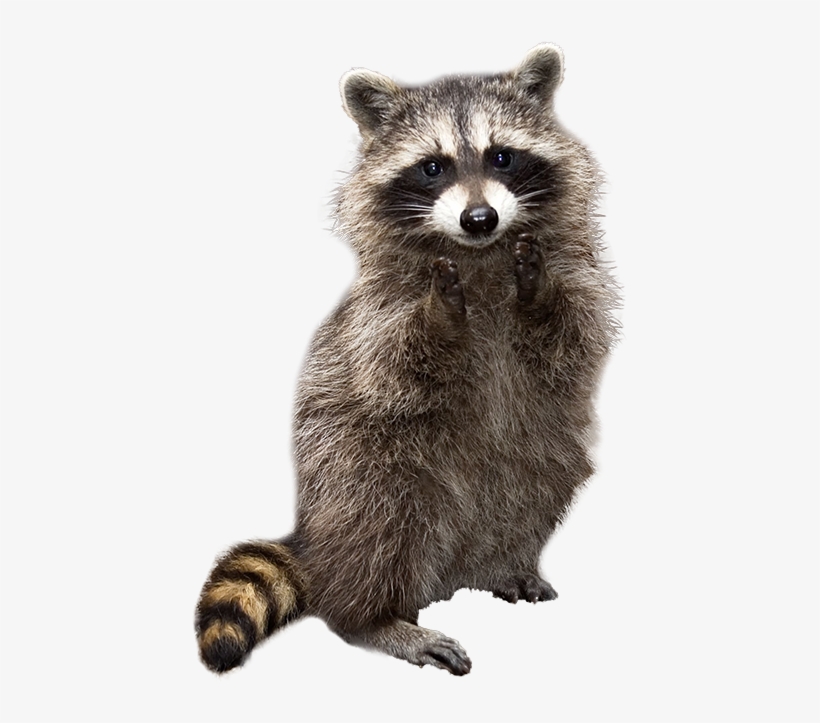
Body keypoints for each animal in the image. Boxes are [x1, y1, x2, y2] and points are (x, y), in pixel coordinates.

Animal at [195, 44, 618, 676]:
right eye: (433, 167)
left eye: (502, 156)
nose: (479, 218)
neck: (480, 256)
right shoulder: (375, 315)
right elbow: (395, 364)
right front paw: (440, 316)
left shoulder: (579, 275)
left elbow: (574, 335)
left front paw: (538, 292)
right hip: (357, 458)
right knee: (380, 521)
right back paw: (374, 619)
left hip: (540, 445)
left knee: (541, 482)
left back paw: (502, 562)